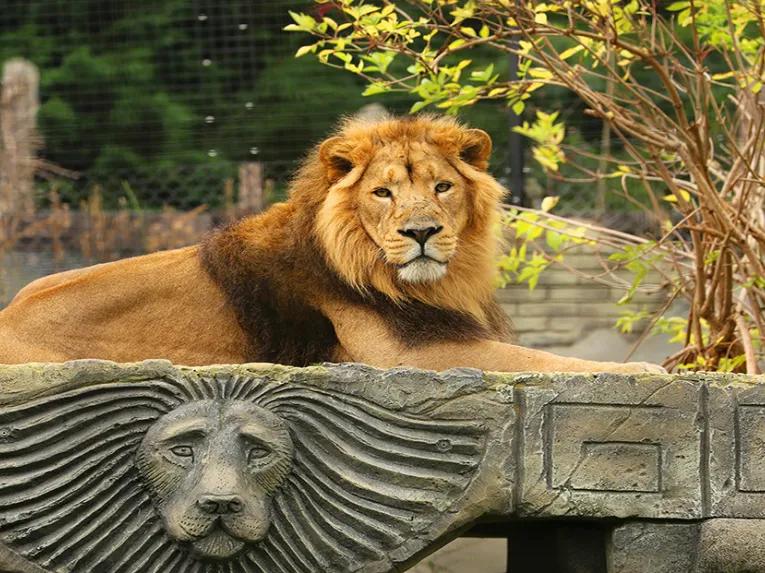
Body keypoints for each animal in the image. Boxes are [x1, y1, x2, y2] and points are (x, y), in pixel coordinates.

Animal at [0, 114, 661, 373]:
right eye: (383, 193)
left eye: (442, 187)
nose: (421, 233)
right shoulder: (408, 354)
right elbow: (548, 360)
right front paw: (644, 367)